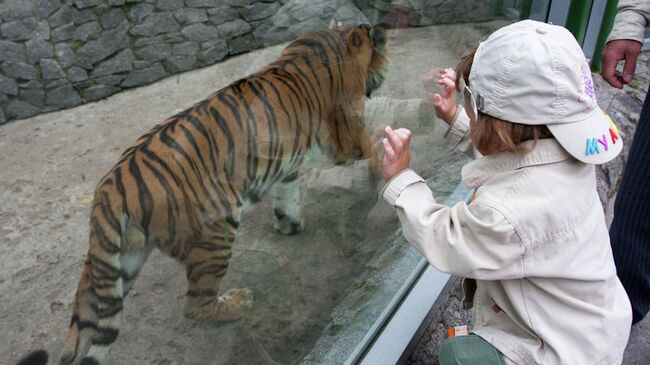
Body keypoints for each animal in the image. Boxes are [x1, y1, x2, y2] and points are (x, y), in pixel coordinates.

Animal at [17, 23, 388, 364]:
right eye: (380, 50)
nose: (385, 69)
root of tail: (110, 190)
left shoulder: (288, 164)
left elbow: (287, 196)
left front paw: (290, 224)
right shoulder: (349, 134)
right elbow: (373, 142)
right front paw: (387, 166)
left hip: (116, 265)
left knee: (86, 321)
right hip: (214, 235)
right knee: (195, 303)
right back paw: (238, 302)